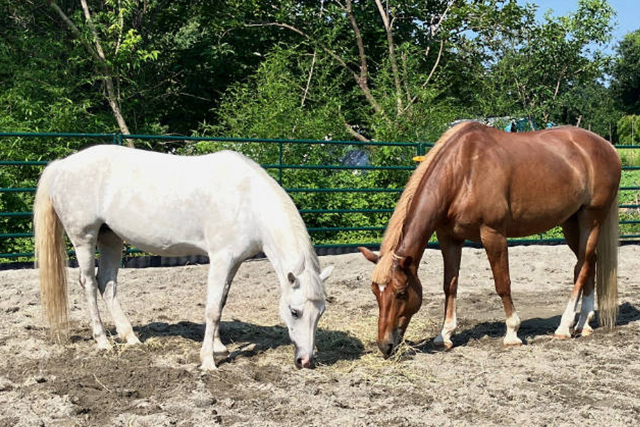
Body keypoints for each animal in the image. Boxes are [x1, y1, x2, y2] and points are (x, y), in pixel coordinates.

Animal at [34, 145, 333, 370]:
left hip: (111, 238)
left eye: (320, 313)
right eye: (294, 312)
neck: (248, 201)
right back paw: (103, 341)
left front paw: (219, 347)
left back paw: (130, 337)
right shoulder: (220, 259)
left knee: (106, 283)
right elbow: (212, 309)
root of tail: (62, 165)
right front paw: (208, 361)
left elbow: (221, 302)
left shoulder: (234, 262)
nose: (305, 360)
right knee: (88, 284)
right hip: (84, 238)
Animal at [359, 122, 621, 357]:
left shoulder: (492, 234)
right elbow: (449, 285)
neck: (463, 172)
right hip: (570, 222)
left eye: (401, 293)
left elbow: (502, 283)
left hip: (591, 219)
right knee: (589, 262)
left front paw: (512, 333)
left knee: (582, 265)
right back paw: (584, 323)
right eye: (375, 293)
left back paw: (565, 326)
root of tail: (607, 146)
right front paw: (444, 335)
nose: (385, 346)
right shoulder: (449, 238)